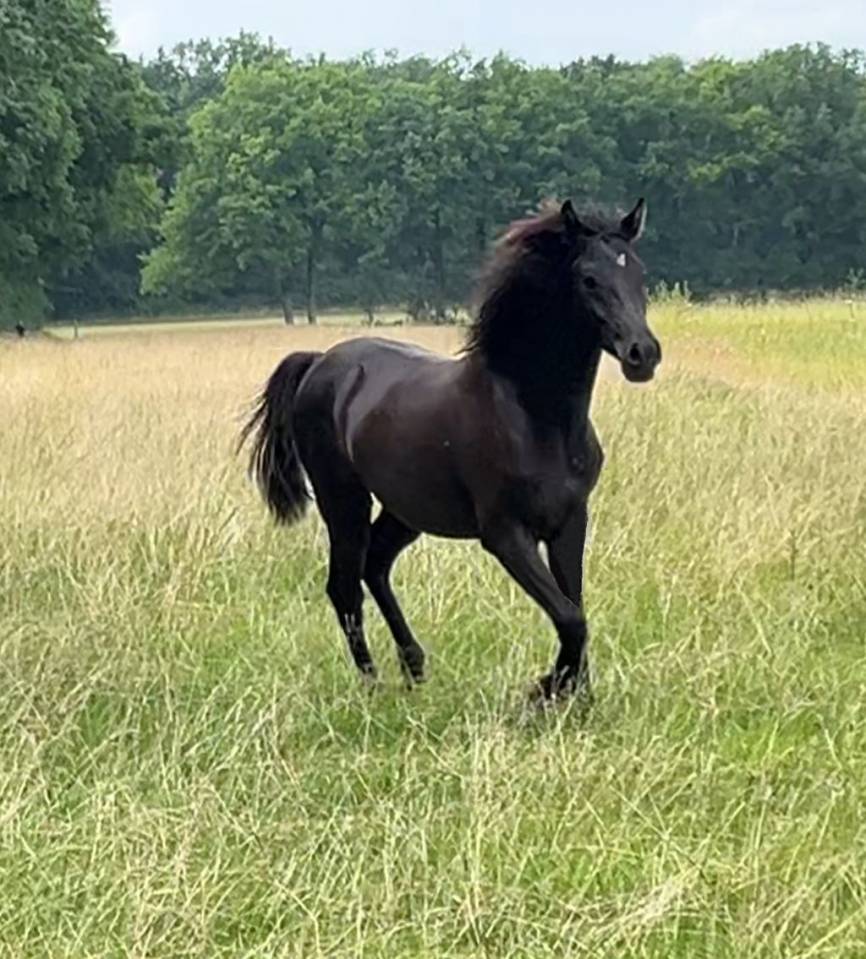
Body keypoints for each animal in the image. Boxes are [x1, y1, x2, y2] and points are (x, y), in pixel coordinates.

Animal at [241, 198, 661, 700]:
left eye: (639, 274)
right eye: (589, 279)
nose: (643, 354)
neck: (535, 418)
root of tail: (320, 362)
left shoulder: (569, 522)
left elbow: (574, 609)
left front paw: (577, 697)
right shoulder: (505, 534)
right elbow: (571, 617)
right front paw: (543, 691)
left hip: (404, 509)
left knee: (374, 565)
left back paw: (414, 666)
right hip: (342, 500)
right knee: (344, 586)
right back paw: (372, 684)